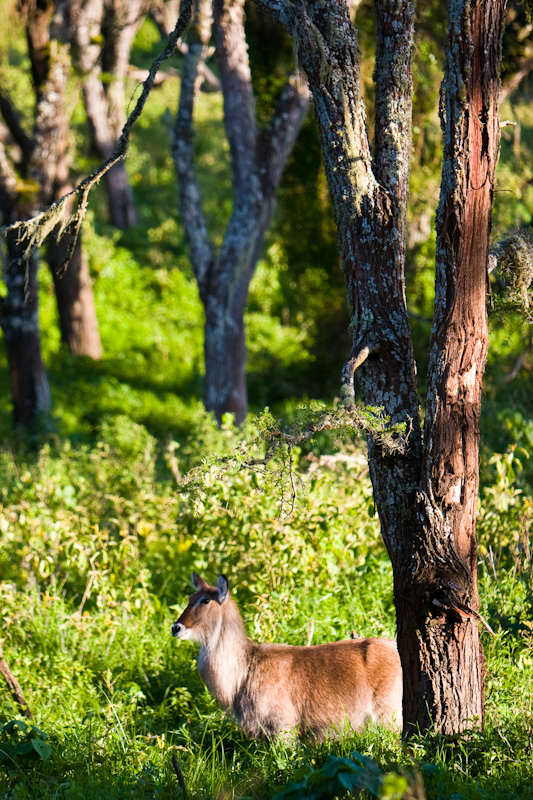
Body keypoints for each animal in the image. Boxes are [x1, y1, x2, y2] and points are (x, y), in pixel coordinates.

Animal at [170, 576, 400, 736]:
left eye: (205, 600)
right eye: (190, 598)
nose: (176, 627)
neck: (243, 672)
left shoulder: (283, 726)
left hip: (390, 716)